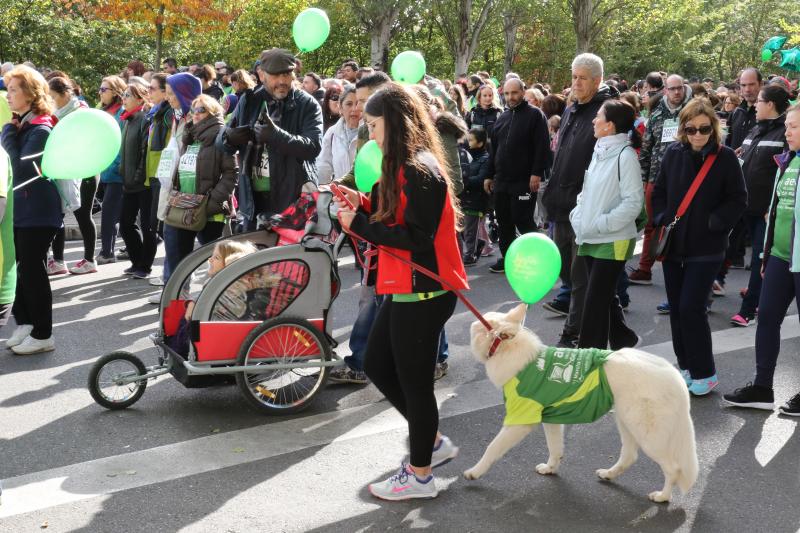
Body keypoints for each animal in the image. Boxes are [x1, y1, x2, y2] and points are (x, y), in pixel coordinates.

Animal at [466, 304, 696, 502]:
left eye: (479, 323)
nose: (472, 321)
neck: (509, 348)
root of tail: (676, 377)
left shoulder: (519, 422)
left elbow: (491, 448)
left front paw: (474, 472)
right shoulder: (551, 420)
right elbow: (555, 449)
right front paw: (551, 468)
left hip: (648, 435)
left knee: (673, 468)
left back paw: (663, 496)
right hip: (626, 422)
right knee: (630, 456)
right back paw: (609, 474)